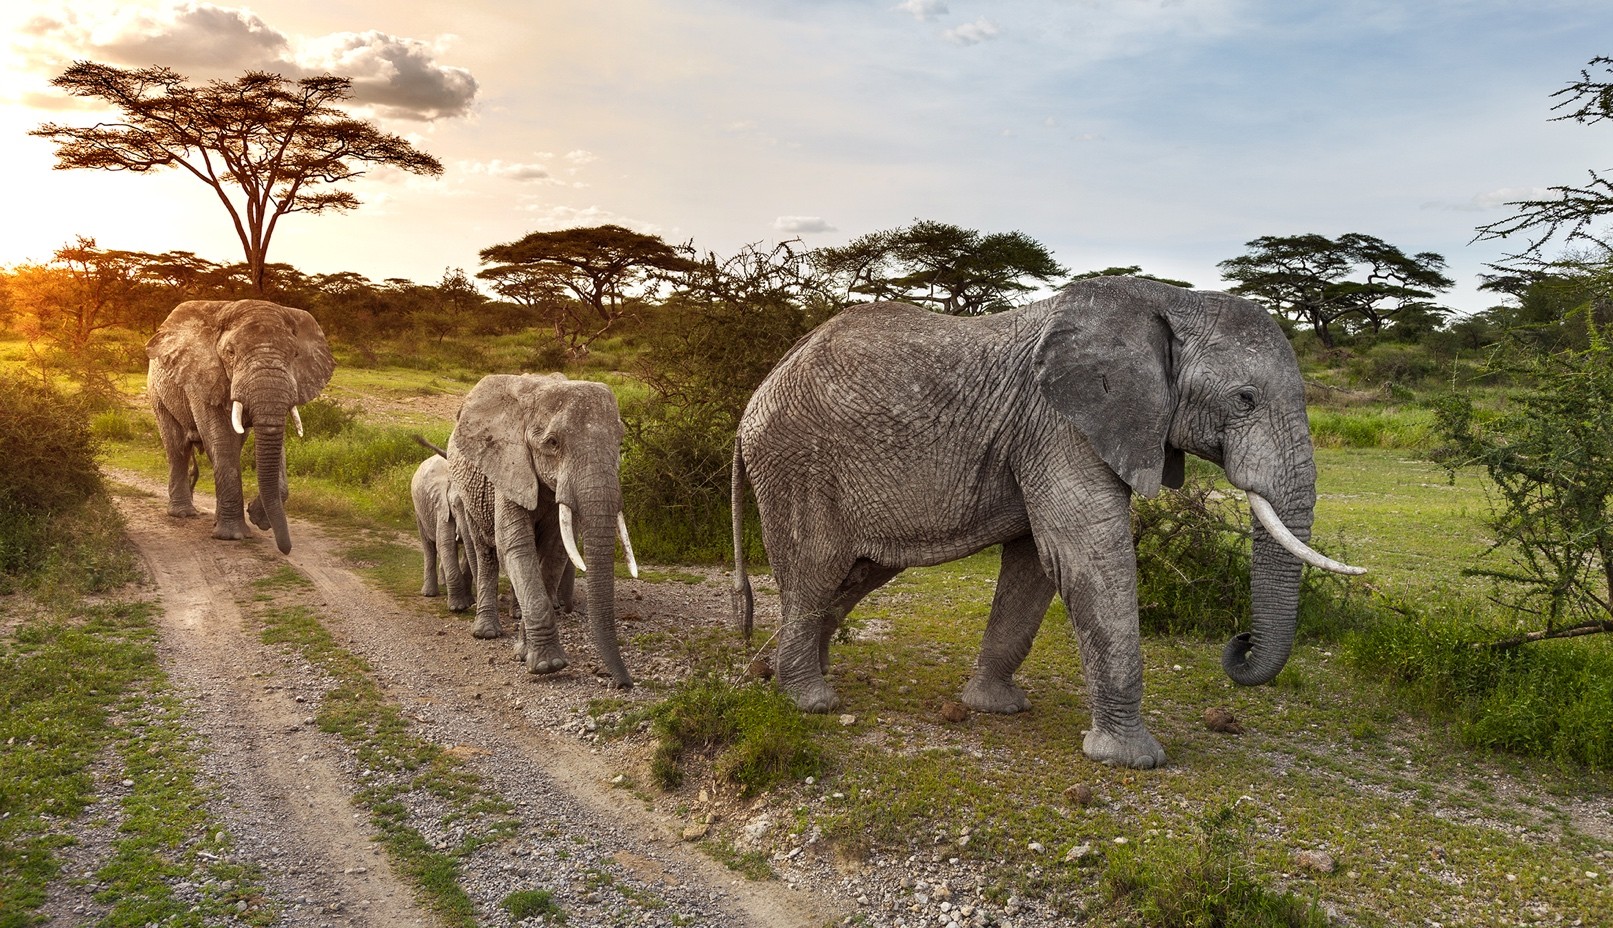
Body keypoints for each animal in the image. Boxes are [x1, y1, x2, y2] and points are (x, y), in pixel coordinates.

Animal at [146, 299, 334, 555]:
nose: (286, 549)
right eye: (230, 353)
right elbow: (222, 440)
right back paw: (182, 513)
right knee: (178, 448)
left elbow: (273, 440)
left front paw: (258, 518)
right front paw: (233, 536)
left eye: (295, 354)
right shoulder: (203, 376)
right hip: (158, 392)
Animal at [411, 451, 474, 612]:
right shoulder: (442, 505)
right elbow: (445, 544)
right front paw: (458, 608)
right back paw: (429, 593)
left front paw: (470, 602)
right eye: (454, 505)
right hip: (419, 511)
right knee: (429, 548)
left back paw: (443, 584)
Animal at [447, 373, 639, 688]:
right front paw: (548, 666)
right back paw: (486, 632)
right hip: (468, 491)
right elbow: (514, 545)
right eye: (552, 443)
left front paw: (525, 654)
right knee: (486, 552)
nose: (622, 683)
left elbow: (556, 552)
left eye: (620, 441)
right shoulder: (509, 466)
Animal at [730, 276, 1363, 769]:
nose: (1240, 643)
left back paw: (781, 672)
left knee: (855, 575)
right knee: (816, 569)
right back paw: (811, 700)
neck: (1171, 299)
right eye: (1245, 399)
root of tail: (754, 399)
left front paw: (995, 707)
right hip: (798, 465)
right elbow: (1086, 555)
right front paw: (1132, 759)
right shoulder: (1060, 426)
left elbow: (1036, 562)